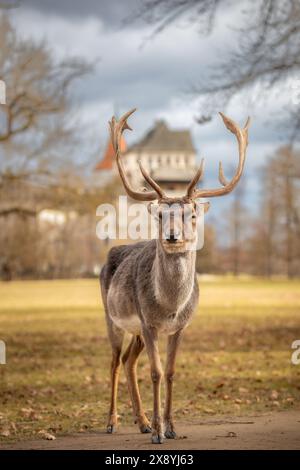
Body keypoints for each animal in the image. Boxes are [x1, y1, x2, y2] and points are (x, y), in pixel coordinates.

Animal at [99, 108, 250, 442]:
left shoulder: (179, 326)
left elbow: (169, 372)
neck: (170, 306)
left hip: (136, 331)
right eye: (159, 214)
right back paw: (113, 422)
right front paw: (158, 431)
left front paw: (170, 427)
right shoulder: (149, 322)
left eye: (191, 214)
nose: (171, 236)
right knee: (114, 361)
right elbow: (154, 372)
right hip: (113, 318)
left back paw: (141, 422)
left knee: (128, 361)